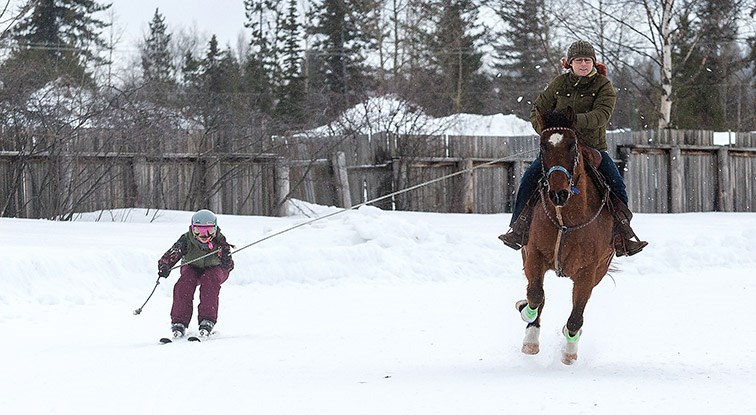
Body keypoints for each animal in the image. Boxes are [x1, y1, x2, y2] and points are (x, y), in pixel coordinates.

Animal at [516, 106, 616, 364]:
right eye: (543, 147)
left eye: (572, 145)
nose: (558, 193)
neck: (565, 220)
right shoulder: (534, 255)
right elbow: (535, 295)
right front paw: (528, 329)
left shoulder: (589, 271)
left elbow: (576, 315)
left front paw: (569, 350)